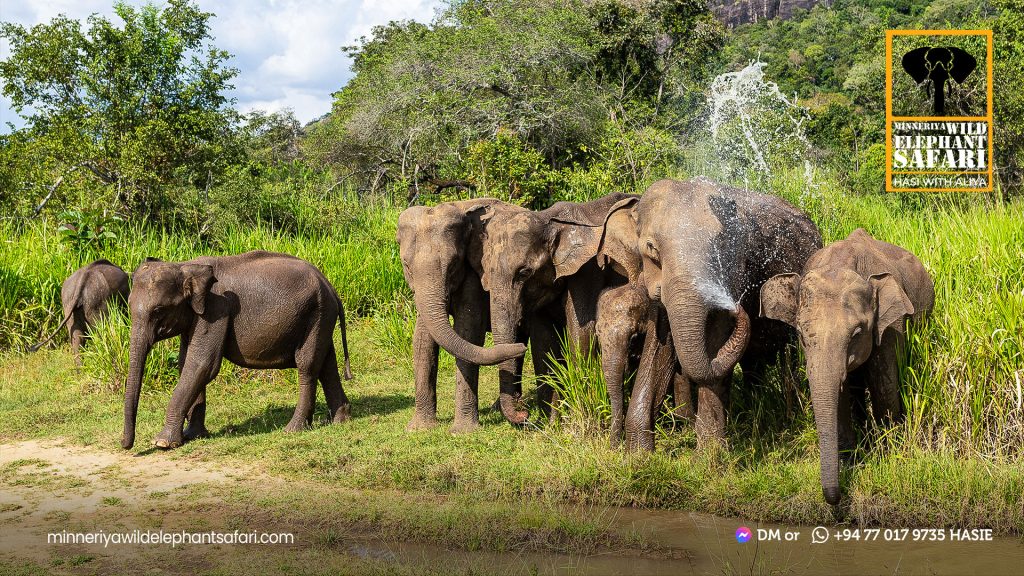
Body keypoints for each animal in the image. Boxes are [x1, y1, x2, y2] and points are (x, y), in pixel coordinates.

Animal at [121, 251, 353, 450]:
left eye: (158, 310)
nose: (125, 445)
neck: (185, 266)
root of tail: (331, 288)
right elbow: (186, 363)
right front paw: (192, 435)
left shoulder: (216, 310)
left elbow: (203, 364)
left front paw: (162, 443)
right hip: (321, 316)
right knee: (327, 364)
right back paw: (341, 420)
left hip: (316, 314)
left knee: (308, 366)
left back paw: (293, 429)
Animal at [396, 199, 527, 433]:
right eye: (406, 266)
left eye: (453, 264)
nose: (519, 348)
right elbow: (422, 340)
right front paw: (418, 429)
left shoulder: (475, 274)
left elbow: (468, 333)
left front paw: (463, 432)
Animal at [600, 178, 822, 450]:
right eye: (652, 248)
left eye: (720, 248)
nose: (737, 307)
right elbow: (658, 346)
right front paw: (638, 453)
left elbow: (716, 337)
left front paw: (708, 454)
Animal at [759, 228, 934, 505]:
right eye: (800, 335)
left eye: (856, 334)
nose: (834, 498)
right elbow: (839, 395)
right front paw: (850, 461)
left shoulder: (890, 325)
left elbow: (884, 384)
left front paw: (888, 454)